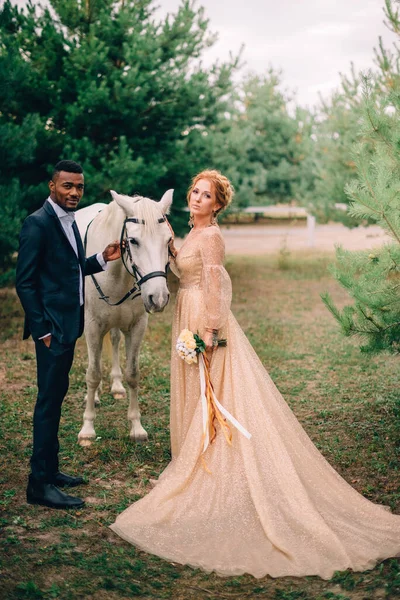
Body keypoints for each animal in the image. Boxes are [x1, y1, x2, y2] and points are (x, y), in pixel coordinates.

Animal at [75, 190, 173, 448]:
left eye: (168, 240)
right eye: (133, 241)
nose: (159, 297)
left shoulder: (137, 326)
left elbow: (133, 374)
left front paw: (136, 427)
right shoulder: (92, 327)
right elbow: (92, 374)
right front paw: (87, 429)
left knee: (115, 341)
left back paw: (116, 386)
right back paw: (94, 397)